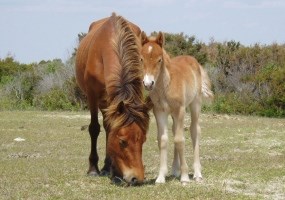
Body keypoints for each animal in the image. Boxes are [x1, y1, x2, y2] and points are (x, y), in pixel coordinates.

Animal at [76, 12, 150, 186]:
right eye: (122, 141)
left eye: (143, 140)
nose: (137, 178)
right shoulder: (92, 96)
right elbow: (94, 128)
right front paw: (93, 169)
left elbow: (110, 129)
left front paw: (113, 170)